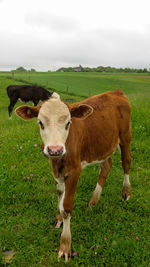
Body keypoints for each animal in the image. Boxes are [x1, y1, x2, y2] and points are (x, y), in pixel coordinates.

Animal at [15, 90, 131, 262]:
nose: (54, 149)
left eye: (68, 122)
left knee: (126, 162)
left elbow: (67, 207)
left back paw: (126, 192)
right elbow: (59, 195)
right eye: (40, 122)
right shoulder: (56, 168)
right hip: (104, 144)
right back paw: (93, 201)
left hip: (125, 135)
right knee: (106, 166)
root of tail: (116, 91)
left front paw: (65, 246)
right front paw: (58, 219)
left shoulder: (75, 171)